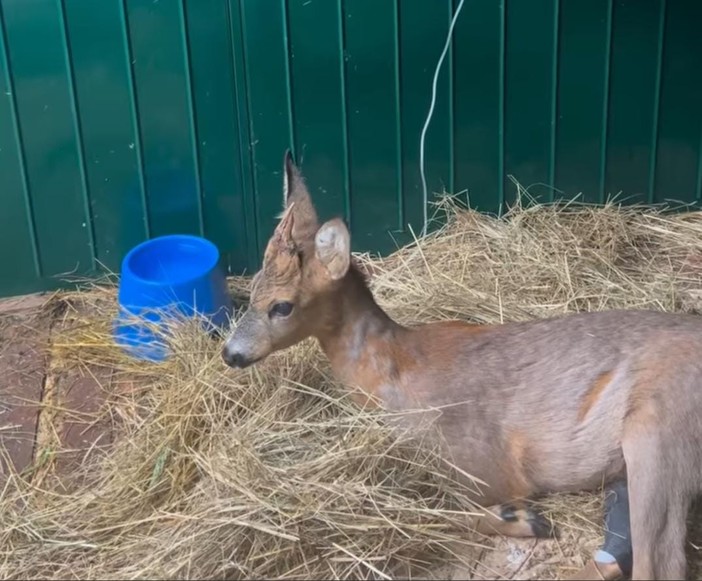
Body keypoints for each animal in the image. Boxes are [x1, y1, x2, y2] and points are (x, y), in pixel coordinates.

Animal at [221, 151, 702, 580]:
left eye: (282, 306)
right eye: (253, 288)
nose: (230, 353)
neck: (396, 369)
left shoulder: (480, 464)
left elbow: (428, 514)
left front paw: (522, 518)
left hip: (659, 428)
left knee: (662, 565)